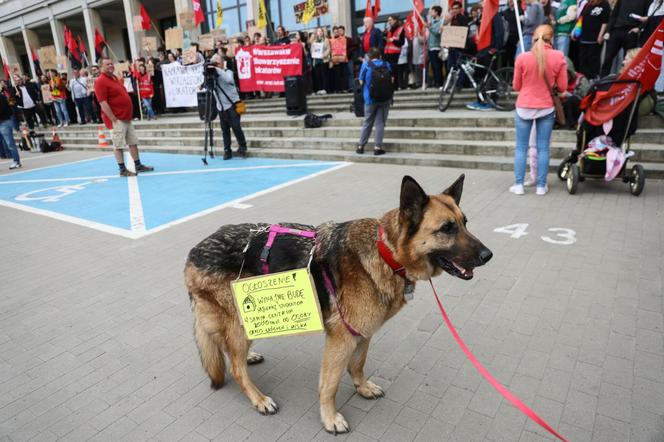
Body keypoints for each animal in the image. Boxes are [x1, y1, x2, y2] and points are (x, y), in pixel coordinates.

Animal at [184, 174, 490, 434]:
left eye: (465, 223)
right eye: (447, 229)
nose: (489, 255)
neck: (386, 252)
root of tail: (193, 252)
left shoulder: (362, 333)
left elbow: (358, 365)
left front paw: (362, 388)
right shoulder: (341, 339)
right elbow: (329, 385)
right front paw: (330, 418)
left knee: (231, 352)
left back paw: (249, 356)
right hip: (238, 322)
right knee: (235, 368)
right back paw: (259, 398)